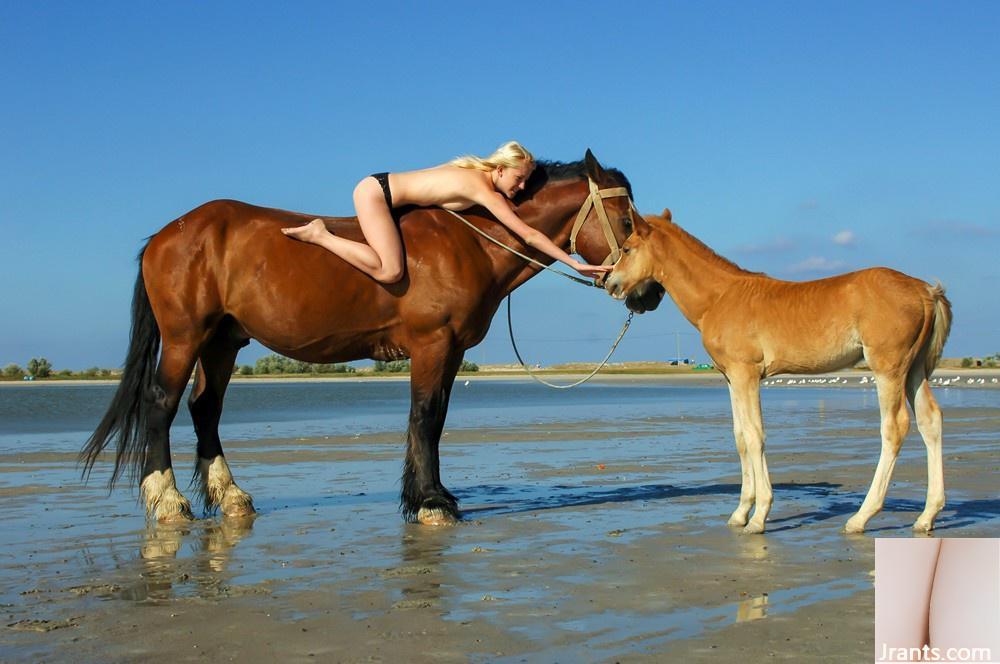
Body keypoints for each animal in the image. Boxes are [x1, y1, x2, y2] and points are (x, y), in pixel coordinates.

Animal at [82, 150, 636, 524]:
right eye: (627, 217)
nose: (641, 290)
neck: (469, 240)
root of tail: (166, 234)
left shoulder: (452, 351)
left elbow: (435, 420)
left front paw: (430, 495)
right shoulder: (432, 345)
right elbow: (425, 417)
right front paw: (430, 502)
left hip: (222, 342)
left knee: (205, 409)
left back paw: (232, 497)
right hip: (185, 336)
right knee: (161, 404)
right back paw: (168, 501)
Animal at [600, 211, 952, 536]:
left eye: (628, 248)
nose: (610, 284)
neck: (719, 298)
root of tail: (925, 291)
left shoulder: (747, 374)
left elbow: (755, 436)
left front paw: (758, 517)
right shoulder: (731, 378)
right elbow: (741, 437)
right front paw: (740, 513)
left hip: (888, 368)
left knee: (894, 428)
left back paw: (861, 517)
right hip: (914, 370)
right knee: (930, 420)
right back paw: (926, 516)